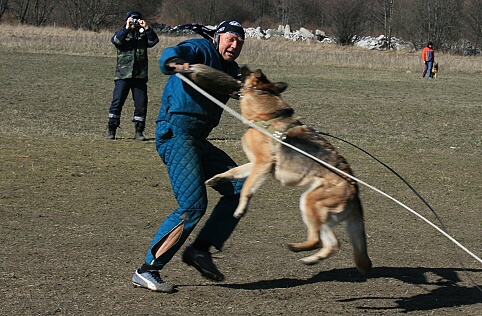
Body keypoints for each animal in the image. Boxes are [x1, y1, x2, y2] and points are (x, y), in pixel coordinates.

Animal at [205, 66, 370, 274]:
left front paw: (241, 209)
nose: (241, 66)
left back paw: (299, 248)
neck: (266, 114)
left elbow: (247, 188)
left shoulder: (263, 163)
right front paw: (217, 179)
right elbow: (234, 171)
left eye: (247, 72)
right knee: (332, 244)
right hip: (322, 215)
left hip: (309, 202)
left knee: (317, 240)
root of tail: (355, 189)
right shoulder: (257, 164)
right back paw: (311, 259)